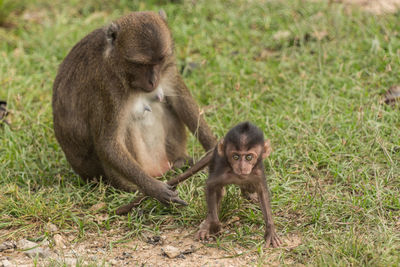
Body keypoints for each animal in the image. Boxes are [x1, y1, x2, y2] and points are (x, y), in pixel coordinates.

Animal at [52, 11, 217, 205]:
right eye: (141, 64)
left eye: (159, 61)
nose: (153, 81)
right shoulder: (107, 88)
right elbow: (108, 143)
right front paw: (155, 190)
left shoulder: (167, 70)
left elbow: (181, 103)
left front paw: (215, 152)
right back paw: (134, 189)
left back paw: (180, 162)